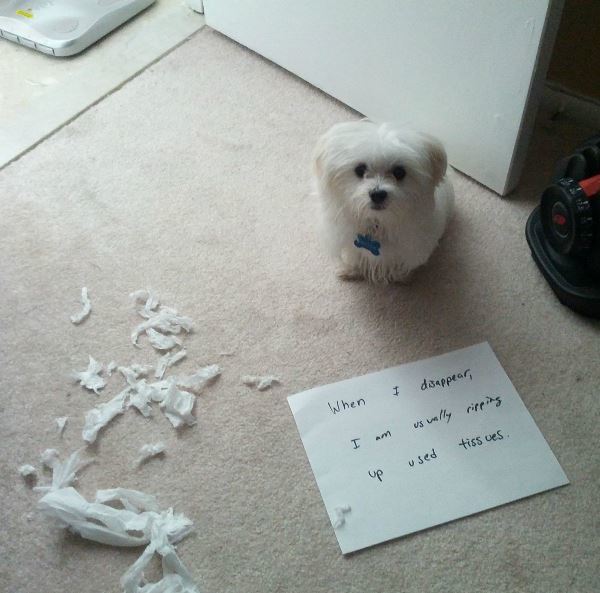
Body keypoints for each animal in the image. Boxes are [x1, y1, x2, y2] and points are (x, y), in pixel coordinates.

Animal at [314, 119, 454, 282]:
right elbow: (353, 255)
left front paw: (401, 277)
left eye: (399, 172)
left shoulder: (410, 247)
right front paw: (349, 270)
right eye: (360, 169)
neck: (377, 223)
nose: (377, 194)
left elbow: (402, 263)